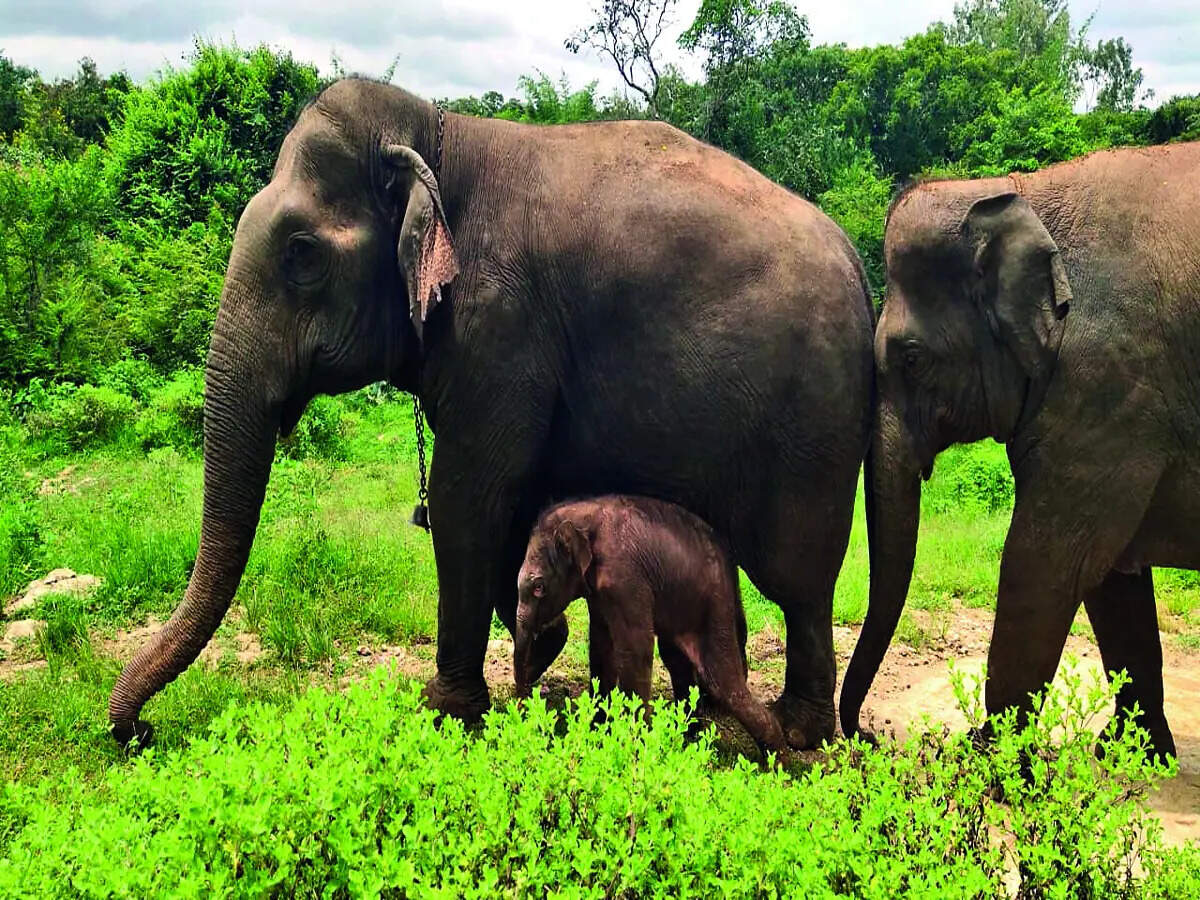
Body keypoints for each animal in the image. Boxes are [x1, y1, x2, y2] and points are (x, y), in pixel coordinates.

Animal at [514, 495, 789, 759]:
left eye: (539, 587)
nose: (523, 708)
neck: (582, 515)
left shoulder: (625, 578)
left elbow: (635, 648)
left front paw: (633, 744)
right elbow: (601, 645)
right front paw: (598, 732)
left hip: (714, 604)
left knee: (721, 680)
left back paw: (777, 763)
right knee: (678, 663)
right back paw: (688, 736)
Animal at [840, 142, 1200, 758]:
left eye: (911, 357)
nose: (869, 736)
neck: (1022, 190)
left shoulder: (1111, 386)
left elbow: (1044, 563)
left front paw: (986, 759)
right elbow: (1110, 579)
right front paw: (1132, 756)